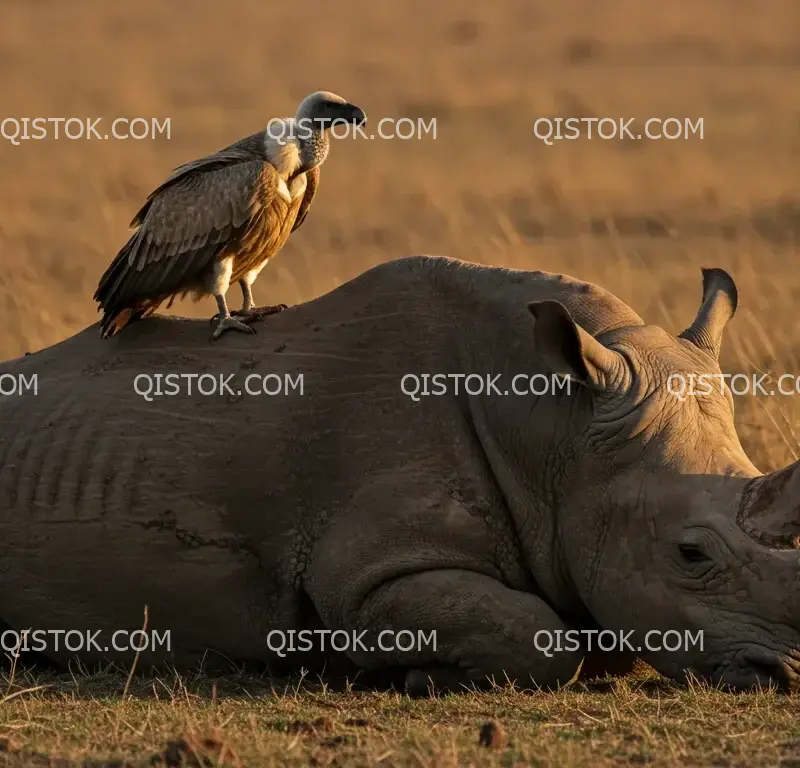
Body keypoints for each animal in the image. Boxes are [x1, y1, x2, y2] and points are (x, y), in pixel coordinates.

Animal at [0, 256, 796, 696]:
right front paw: (415, 677)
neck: (555, 428)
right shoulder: (366, 574)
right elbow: (538, 635)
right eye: (690, 553)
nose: (788, 673)